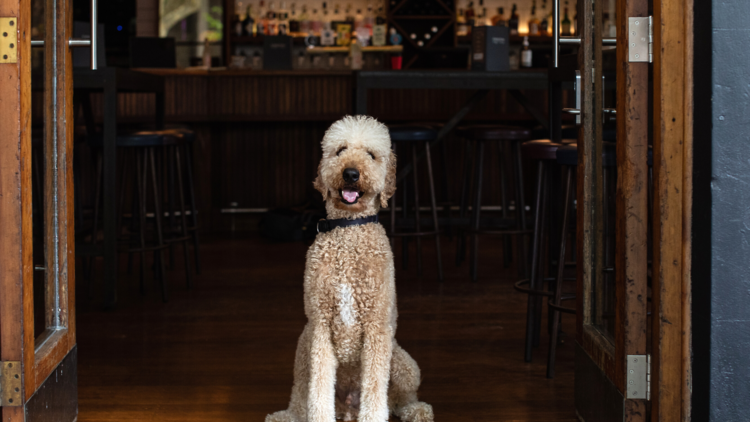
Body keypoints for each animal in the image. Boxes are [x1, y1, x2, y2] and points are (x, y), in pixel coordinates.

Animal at [268, 115, 434, 422]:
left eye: (371, 154)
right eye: (340, 150)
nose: (351, 174)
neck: (349, 229)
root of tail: (347, 408)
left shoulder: (377, 329)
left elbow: (375, 392)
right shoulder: (320, 326)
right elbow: (318, 392)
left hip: (404, 363)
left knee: (399, 398)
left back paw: (417, 410)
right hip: (304, 345)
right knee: (300, 396)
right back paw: (287, 415)